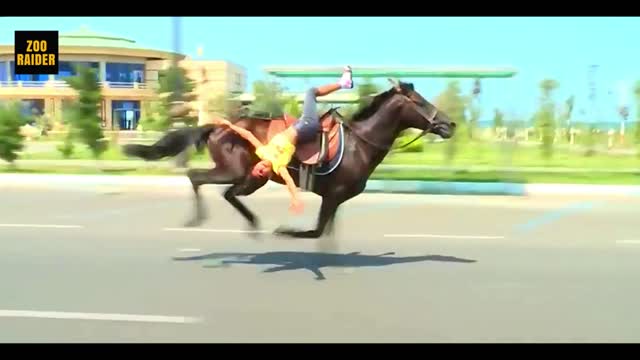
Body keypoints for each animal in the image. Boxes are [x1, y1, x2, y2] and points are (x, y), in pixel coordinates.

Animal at [124, 81, 456, 239]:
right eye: (420, 102)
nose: (449, 124)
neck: (359, 143)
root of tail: (218, 127)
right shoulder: (333, 195)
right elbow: (317, 231)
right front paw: (287, 232)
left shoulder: (336, 199)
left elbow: (327, 233)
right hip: (234, 170)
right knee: (197, 176)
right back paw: (199, 218)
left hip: (251, 177)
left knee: (227, 193)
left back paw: (252, 223)